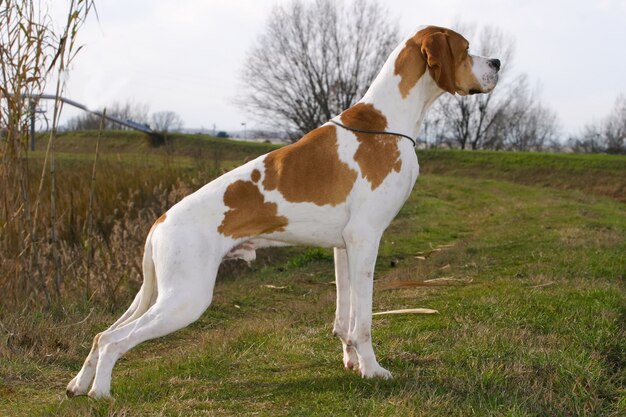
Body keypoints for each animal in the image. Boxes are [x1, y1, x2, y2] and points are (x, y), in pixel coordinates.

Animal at [67, 25, 498, 396]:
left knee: (101, 334)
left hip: (166, 295)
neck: (388, 123)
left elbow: (343, 318)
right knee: (115, 340)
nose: (496, 62)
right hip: (185, 299)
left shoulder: (344, 247)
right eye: (465, 48)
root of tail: (160, 221)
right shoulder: (366, 239)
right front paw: (373, 370)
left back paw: (78, 386)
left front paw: (351, 363)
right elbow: (363, 322)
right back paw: (101, 392)